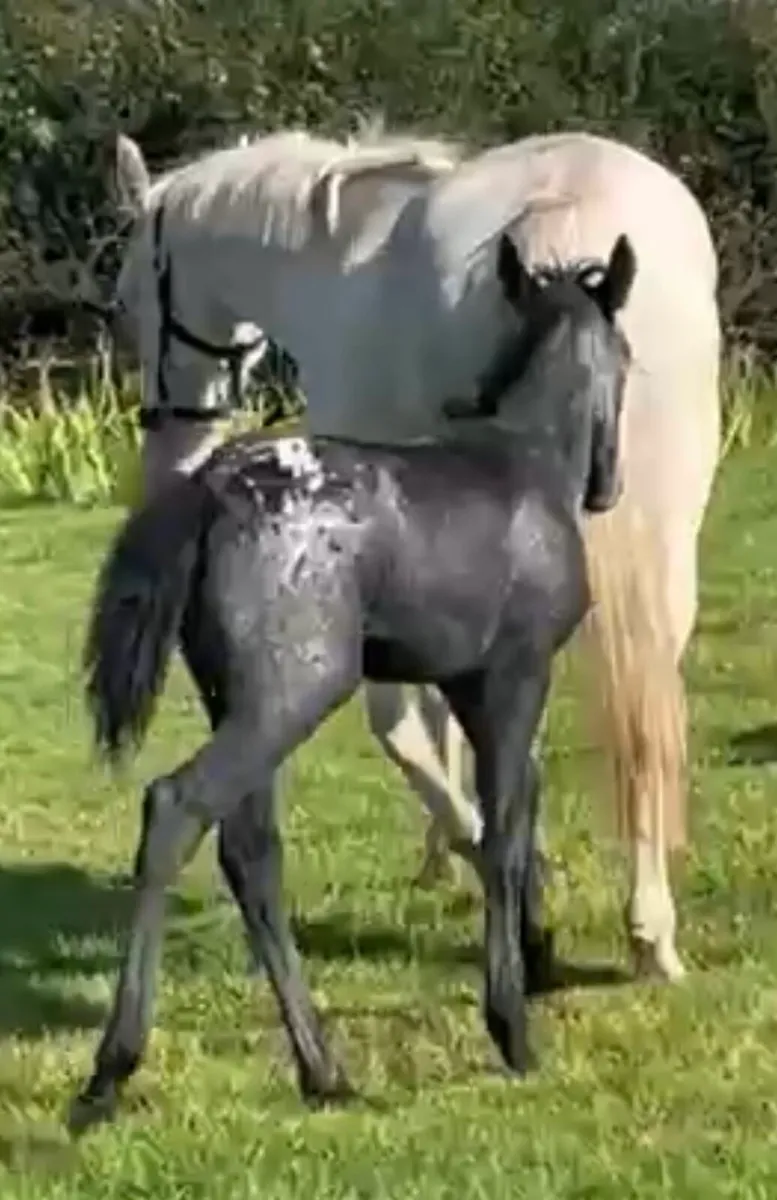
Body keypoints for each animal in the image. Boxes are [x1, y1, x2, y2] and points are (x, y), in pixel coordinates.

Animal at [69, 230, 635, 1134]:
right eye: (628, 353)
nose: (607, 486)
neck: (526, 462)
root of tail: (209, 491)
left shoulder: (465, 686)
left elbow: (503, 820)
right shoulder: (514, 677)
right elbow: (503, 833)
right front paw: (512, 1026)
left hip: (242, 701)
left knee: (251, 853)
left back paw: (324, 1070)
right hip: (292, 694)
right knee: (176, 808)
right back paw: (110, 1072)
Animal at [108, 123, 721, 983]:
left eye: (128, 303)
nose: (168, 452)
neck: (330, 260)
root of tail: (571, 206)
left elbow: (404, 725)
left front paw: (487, 862)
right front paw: (454, 857)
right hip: (666, 543)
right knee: (647, 711)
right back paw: (651, 929)